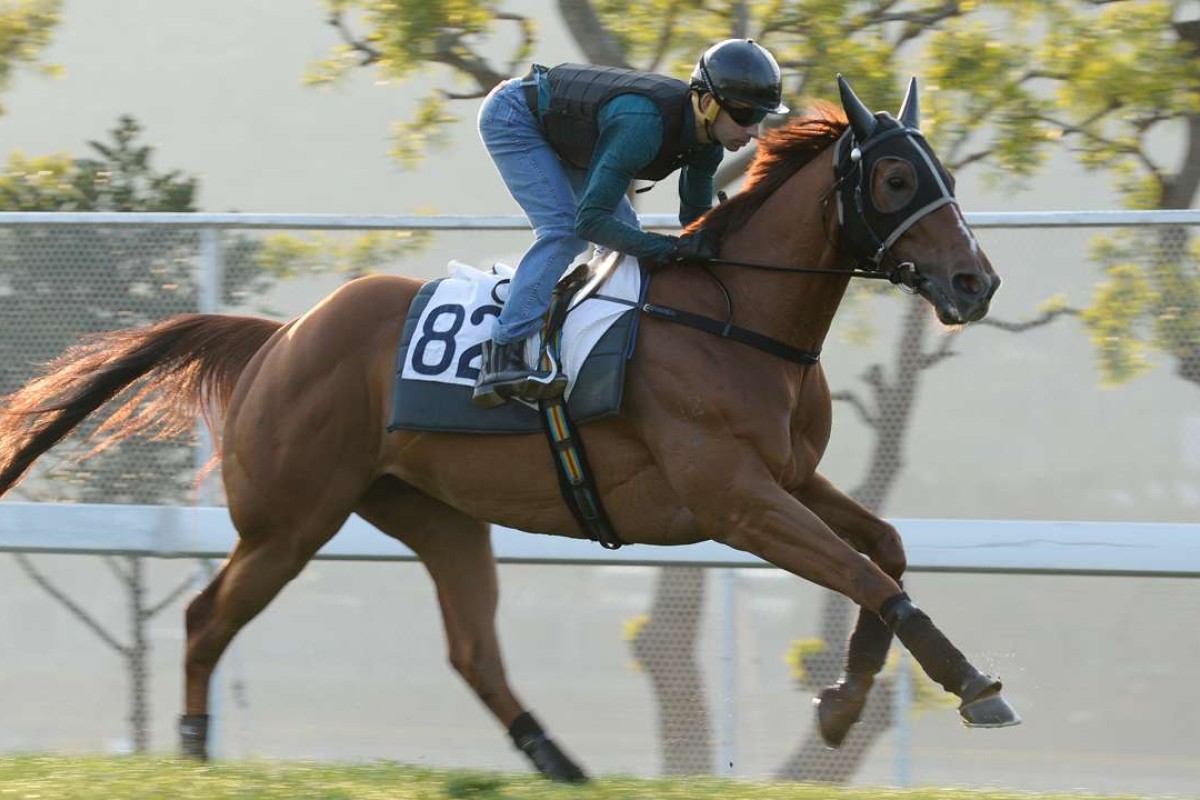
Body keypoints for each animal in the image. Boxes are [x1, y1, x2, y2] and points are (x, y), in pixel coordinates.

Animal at [0, 76, 1017, 782]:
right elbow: (863, 573)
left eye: (943, 173)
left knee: (472, 649)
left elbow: (884, 551)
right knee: (208, 617)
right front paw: (968, 684)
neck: (738, 319)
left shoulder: (791, 479)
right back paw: (194, 747)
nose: (976, 283)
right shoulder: (736, 502)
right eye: (895, 176)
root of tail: (279, 337)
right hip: (290, 520)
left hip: (435, 515)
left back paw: (558, 761)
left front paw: (844, 698)